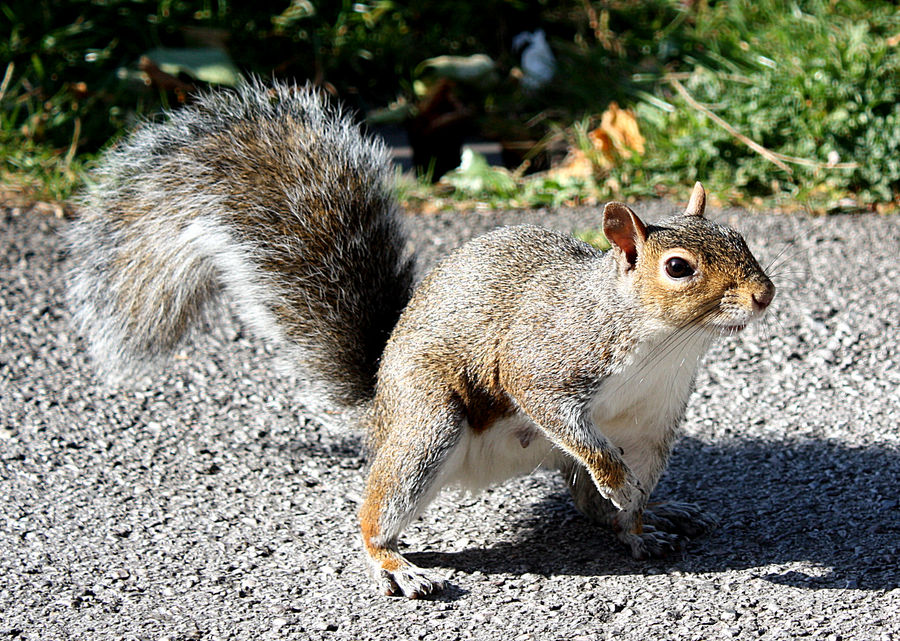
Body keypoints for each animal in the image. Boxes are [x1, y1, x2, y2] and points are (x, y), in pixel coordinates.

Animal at [68, 79, 772, 596]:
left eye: (740, 237)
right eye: (677, 268)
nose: (763, 295)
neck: (662, 344)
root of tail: (380, 404)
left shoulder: (651, 425)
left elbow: (625, 494)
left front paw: (640, 525)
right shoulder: (547, 360)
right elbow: (552, 408)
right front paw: (617, 484)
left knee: (582, 500)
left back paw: (658, 512)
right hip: (427, 428)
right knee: (377, 513)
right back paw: (395, 565)